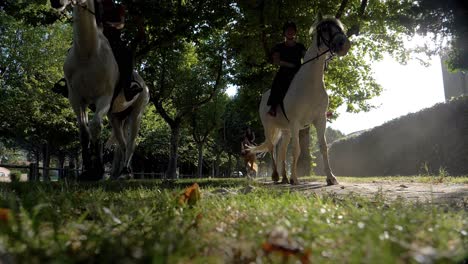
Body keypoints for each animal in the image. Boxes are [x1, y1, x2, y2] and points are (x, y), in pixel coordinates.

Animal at [50, 0, 148, 179]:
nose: (56, 2)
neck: (87, 52)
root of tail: (144, 85)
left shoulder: (104, 97)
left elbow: (95, 126)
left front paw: (97, 171)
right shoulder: (76, 99)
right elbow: (84, 132)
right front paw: (87, 170)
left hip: (136, 115)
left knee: (131, 143)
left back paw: (125, 171)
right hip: (116, 118)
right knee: (122, 144)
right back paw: (119, 173)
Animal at [250, 16, 350, 186]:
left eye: (339, 27)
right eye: (324, 29)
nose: (344, 44)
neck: (311, 84)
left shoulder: (320, 120)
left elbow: (323, 147)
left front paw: (331, 178)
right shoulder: (296, 123)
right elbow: (297, 150)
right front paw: (294, 178)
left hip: (286, 131)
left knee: (282, 151)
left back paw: (283, 177)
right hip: (269, 127)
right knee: (271, 148)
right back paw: (276, 176)